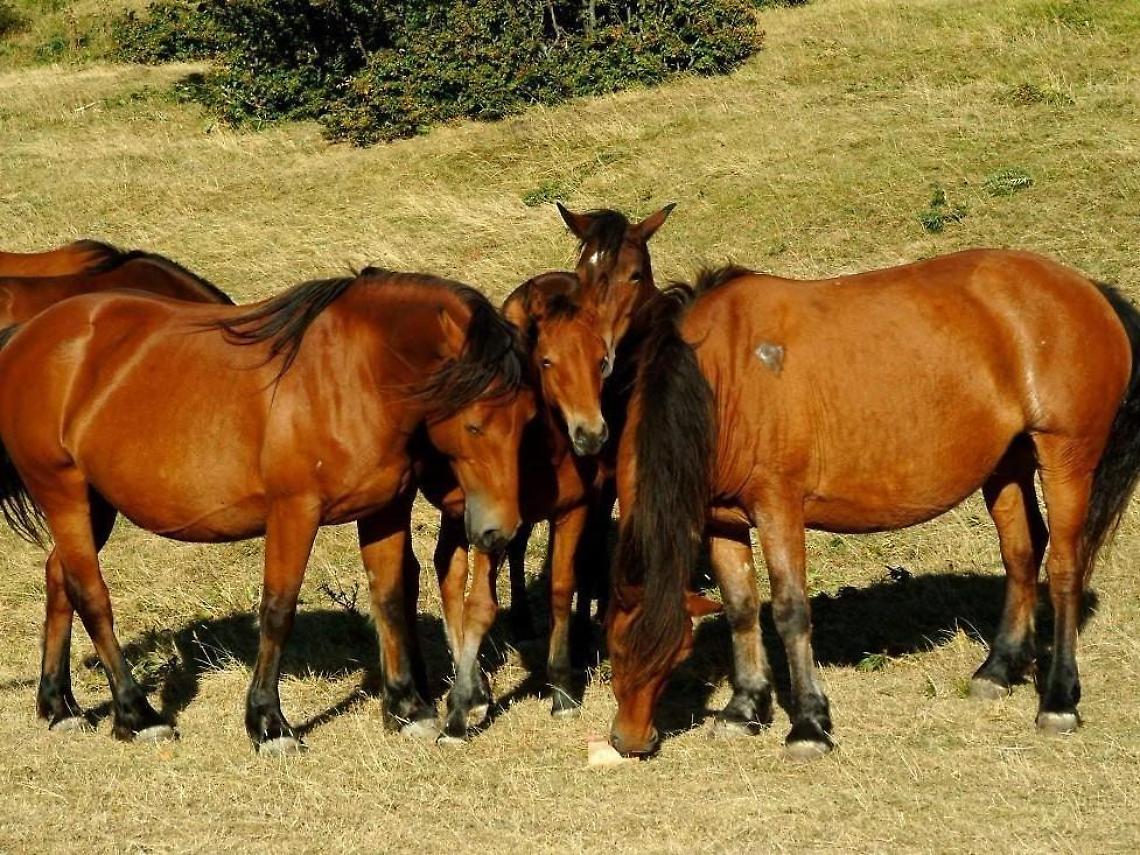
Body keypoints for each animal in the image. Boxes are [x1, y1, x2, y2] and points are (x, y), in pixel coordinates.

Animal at [0, 269, 535, 754]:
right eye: (474, 424)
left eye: (528, 418)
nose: (499, 531)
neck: (354, 375)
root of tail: (26, 336)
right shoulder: (294, 512)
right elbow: (278, 611)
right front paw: (269, 723)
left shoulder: (384, 509)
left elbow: (389, 597)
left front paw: (407, 708)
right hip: (64, 493)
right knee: (91, 595)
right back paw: (137, 713)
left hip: (95, 505)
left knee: (58, 577)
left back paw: (59, 706)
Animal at [606, 249, 1140, 758]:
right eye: (612, 650)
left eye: (676, 654)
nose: (629, 740)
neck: (725, 377)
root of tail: (1086, 288)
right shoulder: (723, 520)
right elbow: (741, 607)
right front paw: (744, 709)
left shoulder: (779, 509)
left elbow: (790, 612)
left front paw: (809, 725)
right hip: (1006, 464)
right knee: (1022, 552)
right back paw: (999, 669)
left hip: (1066, 459)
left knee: (1066, 568)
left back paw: (1059, 700)